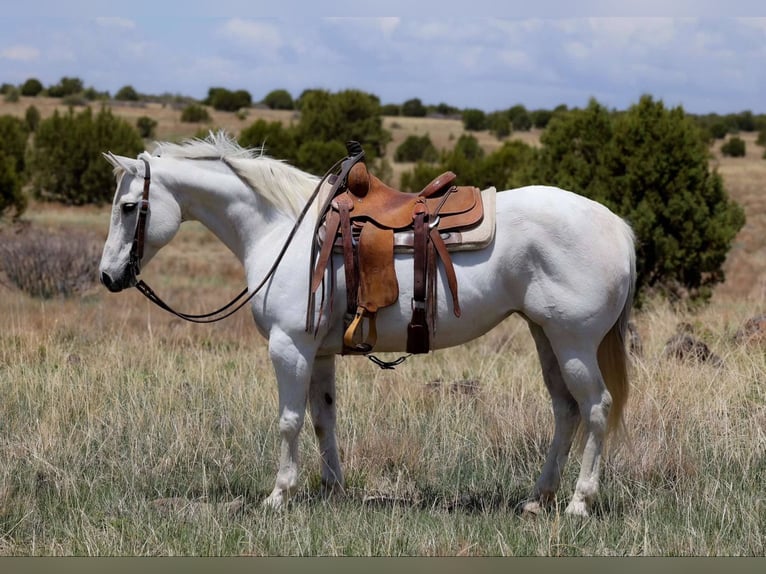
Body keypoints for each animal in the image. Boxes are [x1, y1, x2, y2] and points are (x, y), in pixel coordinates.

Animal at [99, 132, 636, 517]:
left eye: (128, 207)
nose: (108, 276)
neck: (282, 228)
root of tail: (617, 226)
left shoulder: (288, 347)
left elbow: (289, 420)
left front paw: (278, 495)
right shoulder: (316, 352)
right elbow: (323, 418)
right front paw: (331, 489)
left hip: (574, 342)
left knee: (595, 408)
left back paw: (579, 503)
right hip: (546, 336)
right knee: (565, 410)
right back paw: (538, 499)